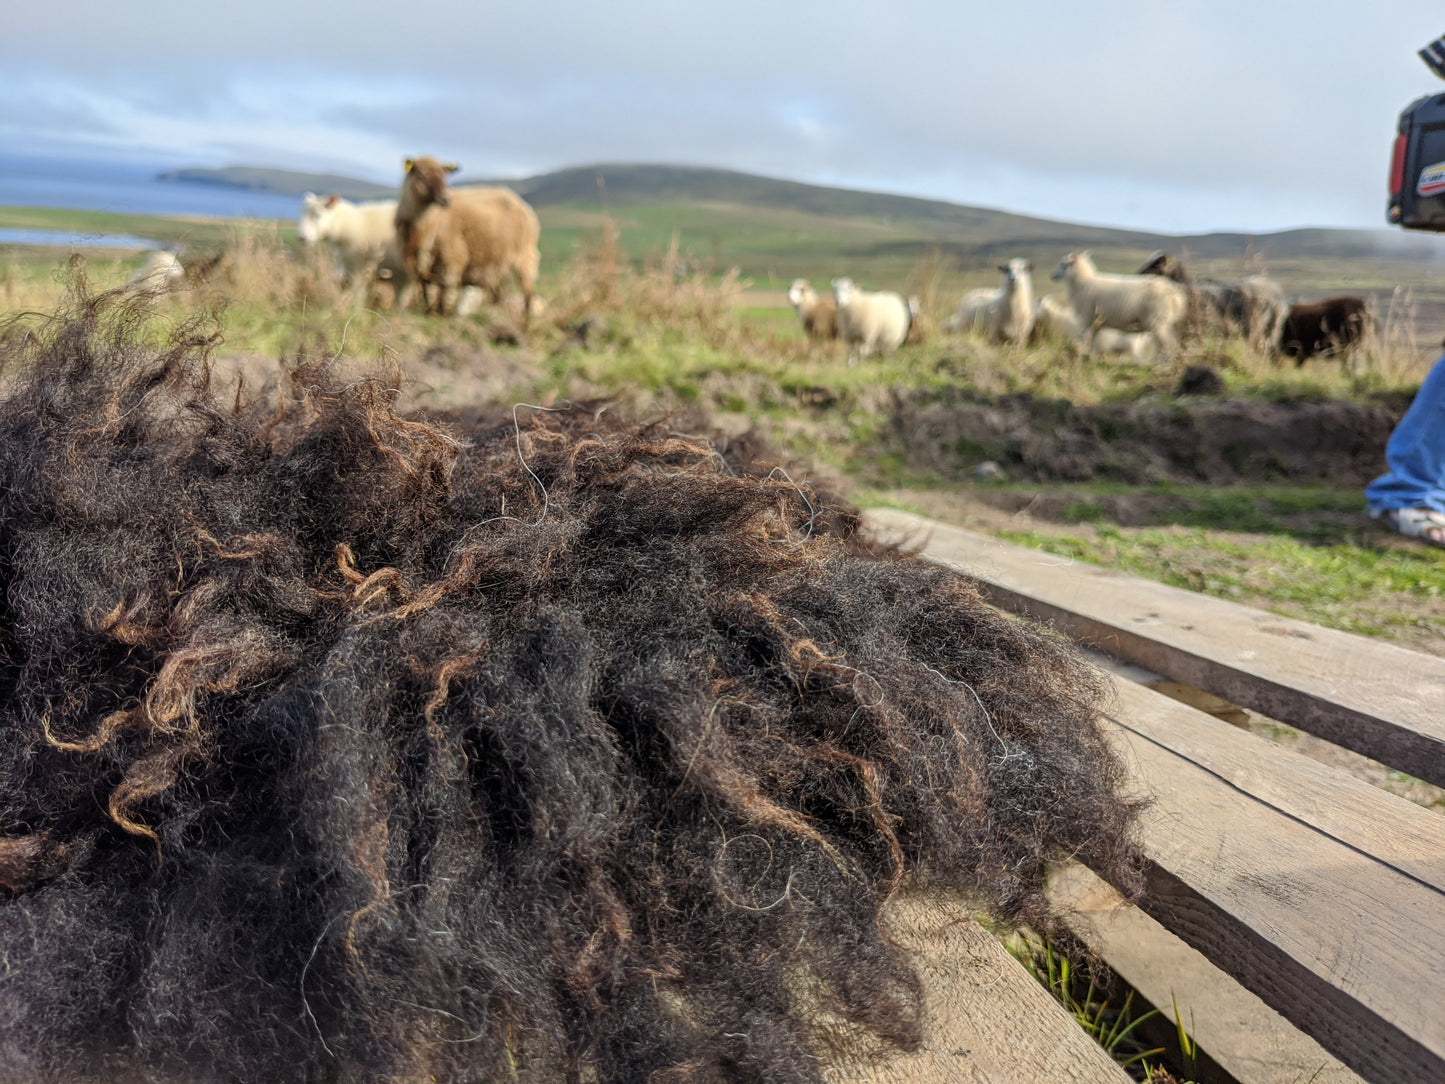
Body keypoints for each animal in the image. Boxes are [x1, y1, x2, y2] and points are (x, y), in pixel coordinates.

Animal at [395, 156, 543, 325]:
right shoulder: (415, 262)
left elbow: (444, 286)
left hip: (525, 254)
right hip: (498, 263)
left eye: (444, 176)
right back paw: (496, 312)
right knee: (499, 293)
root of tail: (517, 199)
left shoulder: (454, 257)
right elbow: (424, 287)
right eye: (420, 175)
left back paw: (526, 318)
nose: (445, 199)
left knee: (527, 290)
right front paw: (428, 312)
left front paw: (440, 313)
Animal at [1051, 250, 1184, 361]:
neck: (1084, 281)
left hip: (1158, 321)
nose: (1052, 276)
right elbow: (1094, 340)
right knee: (1166, 345)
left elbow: (1085, 338)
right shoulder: (1096, 321)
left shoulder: (1086, 318)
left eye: (1064, 264)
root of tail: (1177, 296)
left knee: (1170, 345)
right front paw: (1092, 357)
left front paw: (1085, 356)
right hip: (1164, 323)